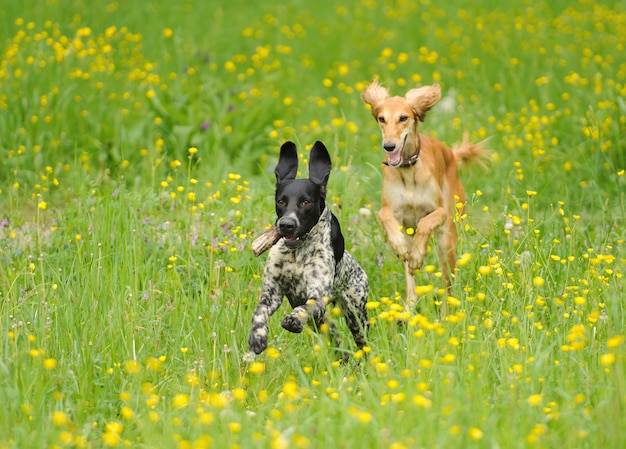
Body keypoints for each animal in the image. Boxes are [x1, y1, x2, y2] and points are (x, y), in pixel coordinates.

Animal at [247, 140, 368, 356]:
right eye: (281, 201)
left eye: (305, 202)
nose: (286, 225)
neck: (297, 253)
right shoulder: (272, 294)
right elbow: (259, 312)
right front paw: (257, 336)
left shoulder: (316, 296)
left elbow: (305, 307)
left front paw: (293, 319)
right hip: (321, 323)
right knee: (335, 335)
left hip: (356, 314)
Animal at [358, 79, 486, 312]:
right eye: (382, 118)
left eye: (403, 118)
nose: (389, 145)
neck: (409, 172)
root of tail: (452, 154)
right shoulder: (393, 211)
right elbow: (384, 215)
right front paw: (400, 246)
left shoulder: (440, 212)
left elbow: (427, 221)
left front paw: (418, 254)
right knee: (411, 281)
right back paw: (408, 309)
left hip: (447, 240)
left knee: (447, 285)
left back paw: (446, 313)